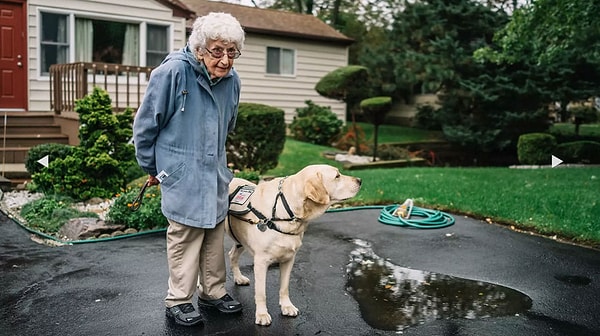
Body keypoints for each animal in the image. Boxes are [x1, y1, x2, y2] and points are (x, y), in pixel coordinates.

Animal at [226, 164, 360, 324]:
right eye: (337, 176)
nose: (360, 180)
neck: (286, 211)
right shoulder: (260, 262)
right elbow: (261, 292)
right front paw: (262, 314)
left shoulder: (289, 259)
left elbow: (284, 287)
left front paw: (287, 306)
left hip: (240, 240)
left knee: (232, 255)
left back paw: (238, 278)